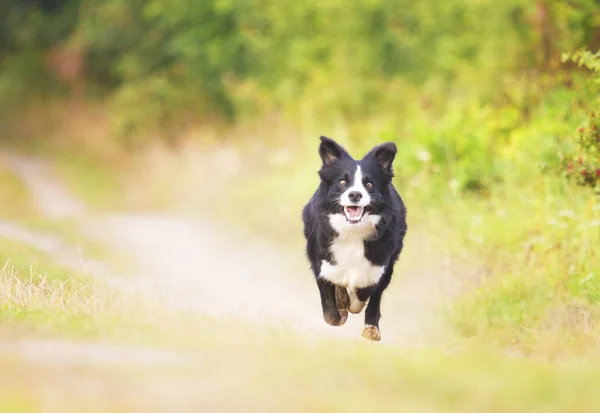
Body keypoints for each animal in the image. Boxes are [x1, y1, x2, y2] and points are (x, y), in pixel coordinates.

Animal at [302, 137, 406, 340]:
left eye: (369, 184)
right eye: (342, 182)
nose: (355, 194)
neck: (352, 231)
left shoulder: (379, 262)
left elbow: (366, 291)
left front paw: (353, 305)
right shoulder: (322, 259)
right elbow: (330, 311)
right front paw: (340, 308)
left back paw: (371, 329)